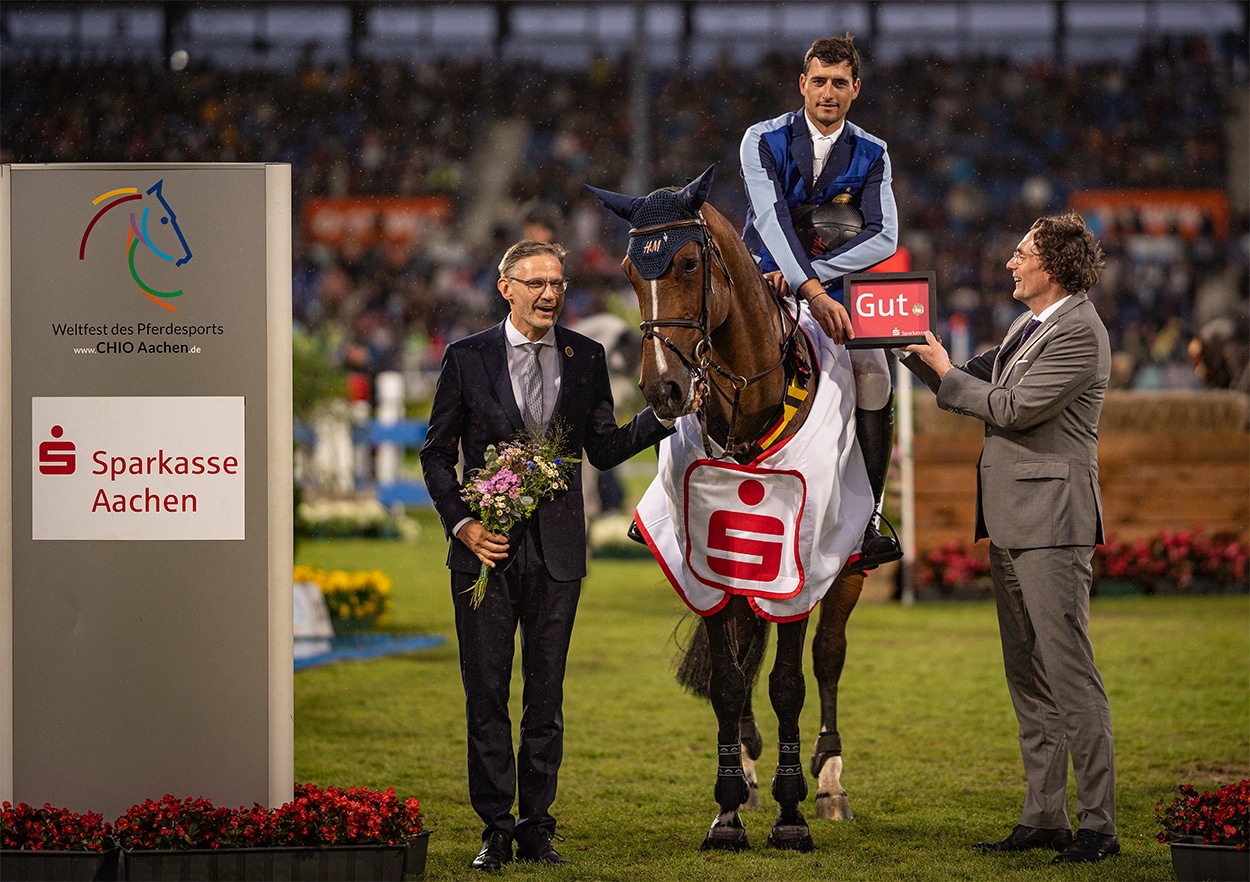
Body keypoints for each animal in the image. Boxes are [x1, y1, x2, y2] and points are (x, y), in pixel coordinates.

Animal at [587, 163, 870, 844]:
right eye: (630, 271)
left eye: (690, 263)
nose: (663, 388)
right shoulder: (710, 564)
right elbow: (726, 680)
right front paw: (727, 809)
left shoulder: (804, 563)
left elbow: (790, 681)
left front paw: (792, 814)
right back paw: (746, 767)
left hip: (848, 565)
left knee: (829, 657)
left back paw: (829, 779)